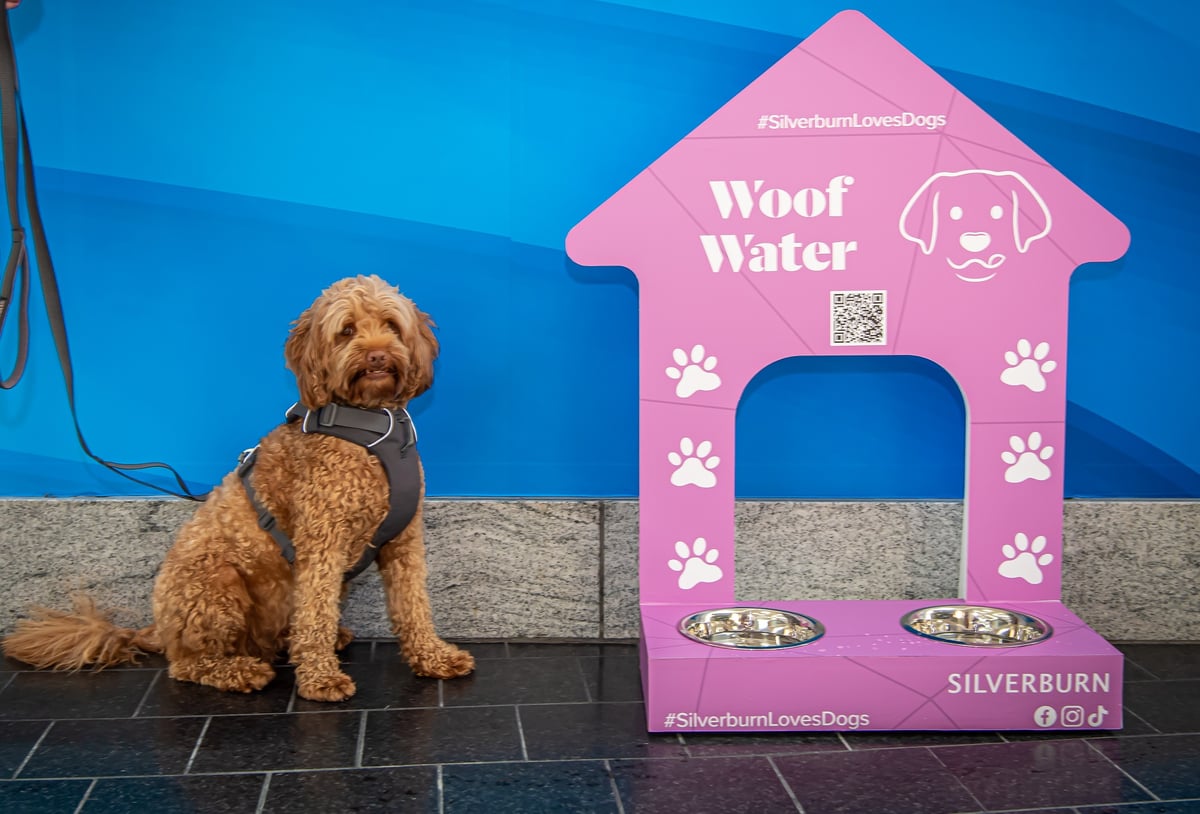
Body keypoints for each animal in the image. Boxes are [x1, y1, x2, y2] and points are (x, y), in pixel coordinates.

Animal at [2, 276, 475, 701]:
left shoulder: (403, 543)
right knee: (188, 664)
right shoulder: (322, 544)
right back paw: (240, 671)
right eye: (346, 331)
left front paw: (433, 658)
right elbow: (315, 615)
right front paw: (321, 680)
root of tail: (157, 630)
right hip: (218, 586)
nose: (378, 356)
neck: (371, 428)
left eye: (392, 326)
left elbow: (414, 606)